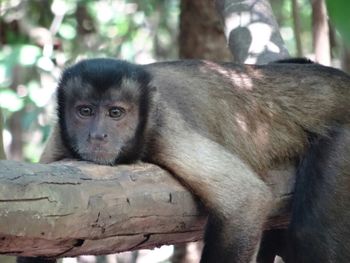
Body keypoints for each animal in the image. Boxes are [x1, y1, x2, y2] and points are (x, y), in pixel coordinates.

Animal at [17, 58, 350, 263]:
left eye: (115, 113)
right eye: (84, 111)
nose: (98, 136)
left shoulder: (164, 130)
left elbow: (246, 200)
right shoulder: (59, 141)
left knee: (310, 236)